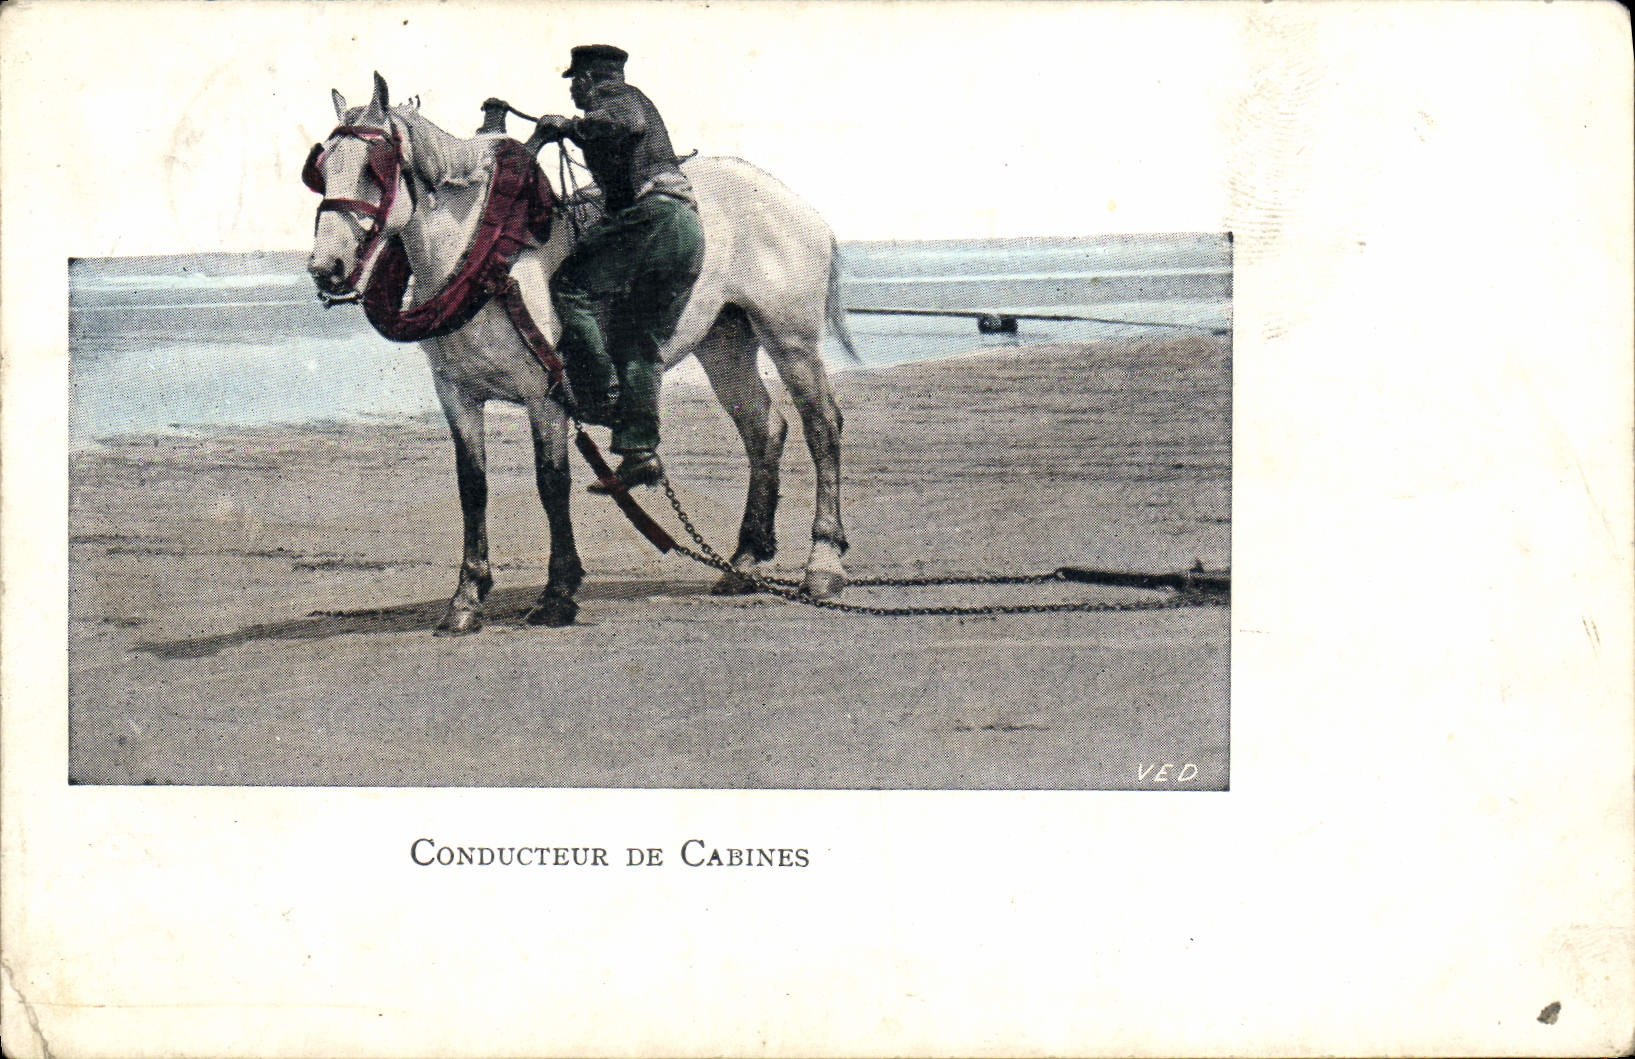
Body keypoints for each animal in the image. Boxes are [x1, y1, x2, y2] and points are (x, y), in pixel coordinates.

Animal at [305, 73, 854, 634]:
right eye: (322, 170)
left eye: (374, 170)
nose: (327, 268)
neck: (487, 262)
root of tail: (794, 203)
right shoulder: (456, 394)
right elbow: (472, 487)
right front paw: (467, 598)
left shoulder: (544, 394)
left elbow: (552, 484)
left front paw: (557, 593)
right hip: (724, 344)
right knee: (764, 429)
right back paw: (744, 560)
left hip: (791, 340)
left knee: (821, 428)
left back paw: (823, 564)